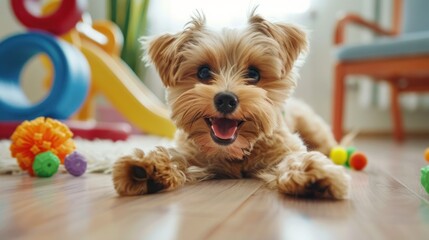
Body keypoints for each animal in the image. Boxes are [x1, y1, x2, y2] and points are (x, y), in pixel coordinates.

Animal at [112, 12, 350, 199]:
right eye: (203, 72)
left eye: (254, 74)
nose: (226, 99)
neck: (237, 153)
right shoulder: (192, 152)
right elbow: (175, 154)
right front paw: (147, 166)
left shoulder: (284, 148)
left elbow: (296, 157)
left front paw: (312, 172)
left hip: (313, 127)